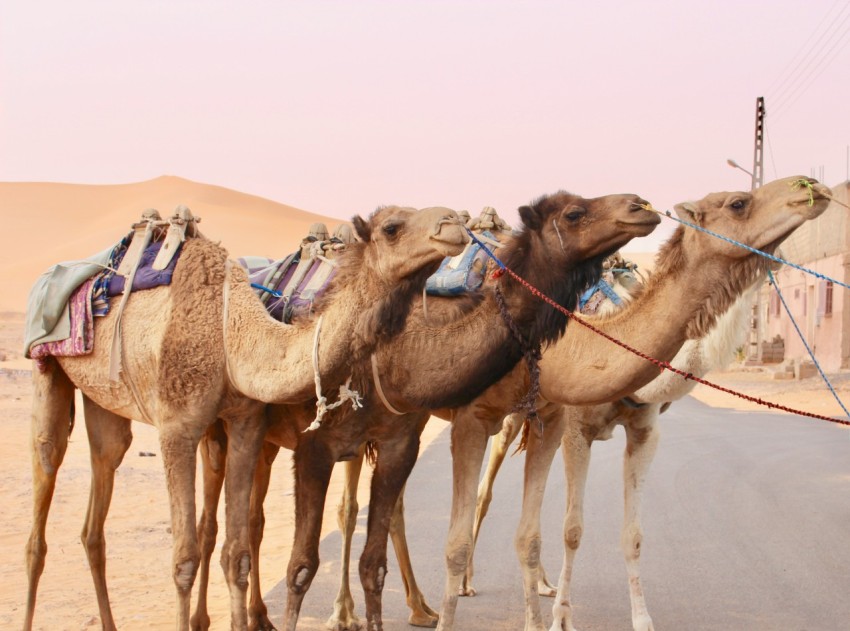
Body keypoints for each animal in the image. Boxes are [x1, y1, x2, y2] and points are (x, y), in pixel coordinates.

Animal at [23, 204, 468, 631]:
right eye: (392, 227)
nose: (453, 224)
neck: (229, 335)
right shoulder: (178, 428)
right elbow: (183, 560)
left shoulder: (245, 423)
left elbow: (236, 554)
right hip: (49, 370)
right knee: (43, 489)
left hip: (106, 403)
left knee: (99, 498)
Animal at [192, 191, 661, 631]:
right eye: (574, 213)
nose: (641, 206)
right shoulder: (321, 445)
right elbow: (303, 563)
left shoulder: (417, 435)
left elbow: (378, 556)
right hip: (224, 428)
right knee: (216, 524)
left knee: (260, 519)